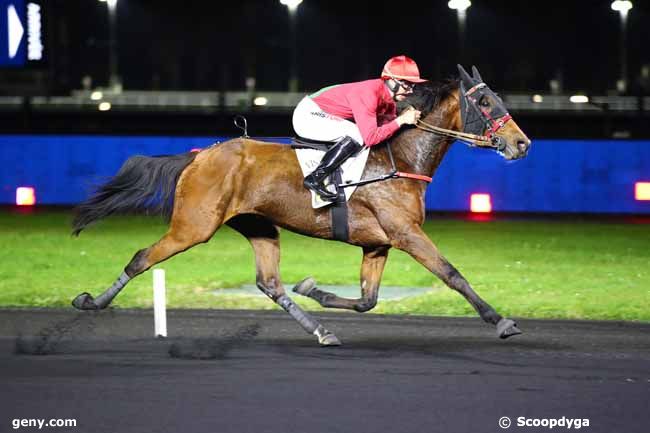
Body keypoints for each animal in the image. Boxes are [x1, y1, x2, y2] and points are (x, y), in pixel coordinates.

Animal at [71, 65, 528, 348]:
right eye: (485, 102)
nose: (522, 143)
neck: (399, 159)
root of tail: (199, 155)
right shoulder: (407, 234)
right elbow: (451, 274)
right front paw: (501, 321)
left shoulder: (377, 244)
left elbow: (367, 300)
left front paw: (312, 288)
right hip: (193, 226)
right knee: (141, 258)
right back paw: (90, 302)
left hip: (259, 227)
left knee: (270, 284)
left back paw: (322, 330)